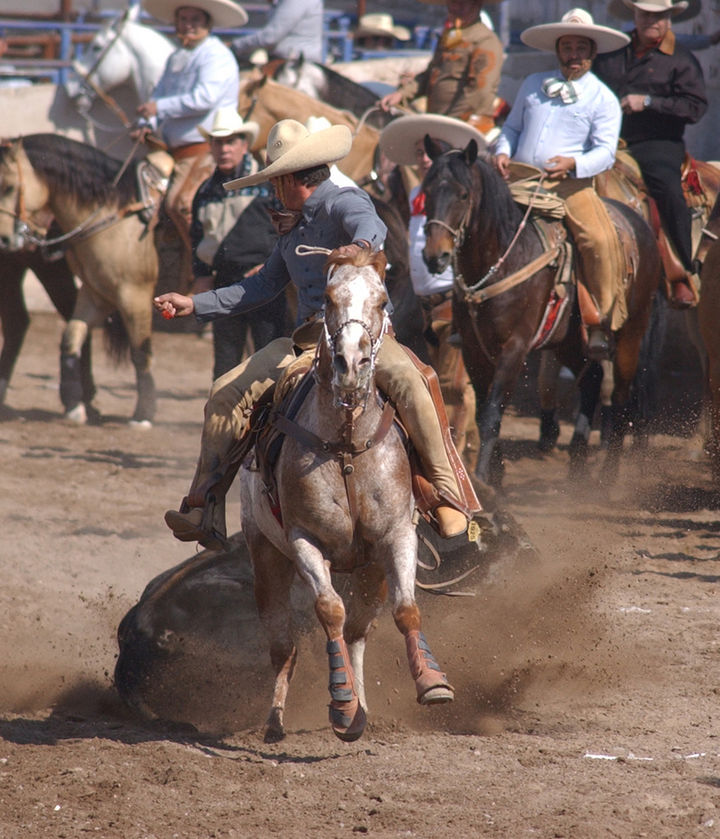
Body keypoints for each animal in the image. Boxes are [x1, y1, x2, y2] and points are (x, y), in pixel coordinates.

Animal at [0, 134, 165, 424]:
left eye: (9, 187)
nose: (4, 239)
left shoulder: (135, 296)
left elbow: (140, 351)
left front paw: (143, 414)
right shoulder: (95, 295)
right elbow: (71, 338)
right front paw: (75, 405)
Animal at [239, 248, 454, 743]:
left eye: (382, 300)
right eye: (330, 297)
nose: (350, 363)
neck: (346, 448)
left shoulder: (397, 535)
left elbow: (406, 610)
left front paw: (431, 682)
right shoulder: (303, 541)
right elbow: (329, 610)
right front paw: (341, 705)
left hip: (369, 567)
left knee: (358, 631)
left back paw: (363, 704)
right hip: (266, 555)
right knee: (284, 645)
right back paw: (279, 717)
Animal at [421, 139, 661, 487]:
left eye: (463, 194)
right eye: (426, 190)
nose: (435, 256)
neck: (503, 259)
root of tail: (640, 223)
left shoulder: (516, 347)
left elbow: (493, 412)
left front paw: (483, 478)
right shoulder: (473, 348)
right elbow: (481, 411)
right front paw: (497, 476)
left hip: (632, 330)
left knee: (620, 394)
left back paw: (607, 477)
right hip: (568, 341)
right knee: (592, 379)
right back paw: (576, 466)